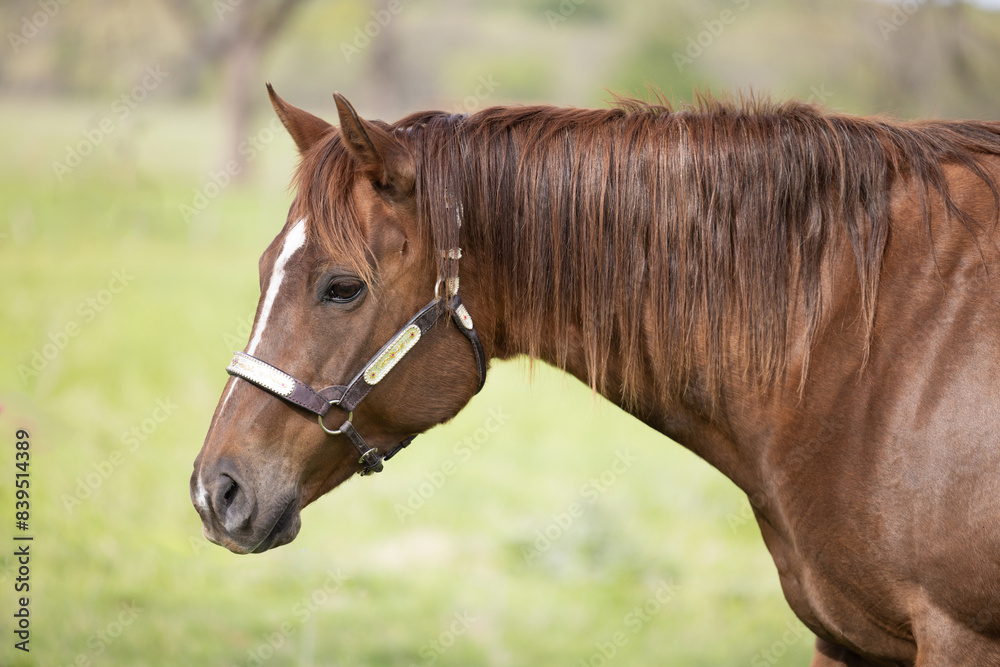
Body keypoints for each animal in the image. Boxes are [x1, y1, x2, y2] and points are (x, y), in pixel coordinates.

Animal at [191, 83, 1000, 665]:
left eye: (342, 287)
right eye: (265, 268)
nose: (215, 490)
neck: (860, 342)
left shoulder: (959, 638)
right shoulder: (844, 638)